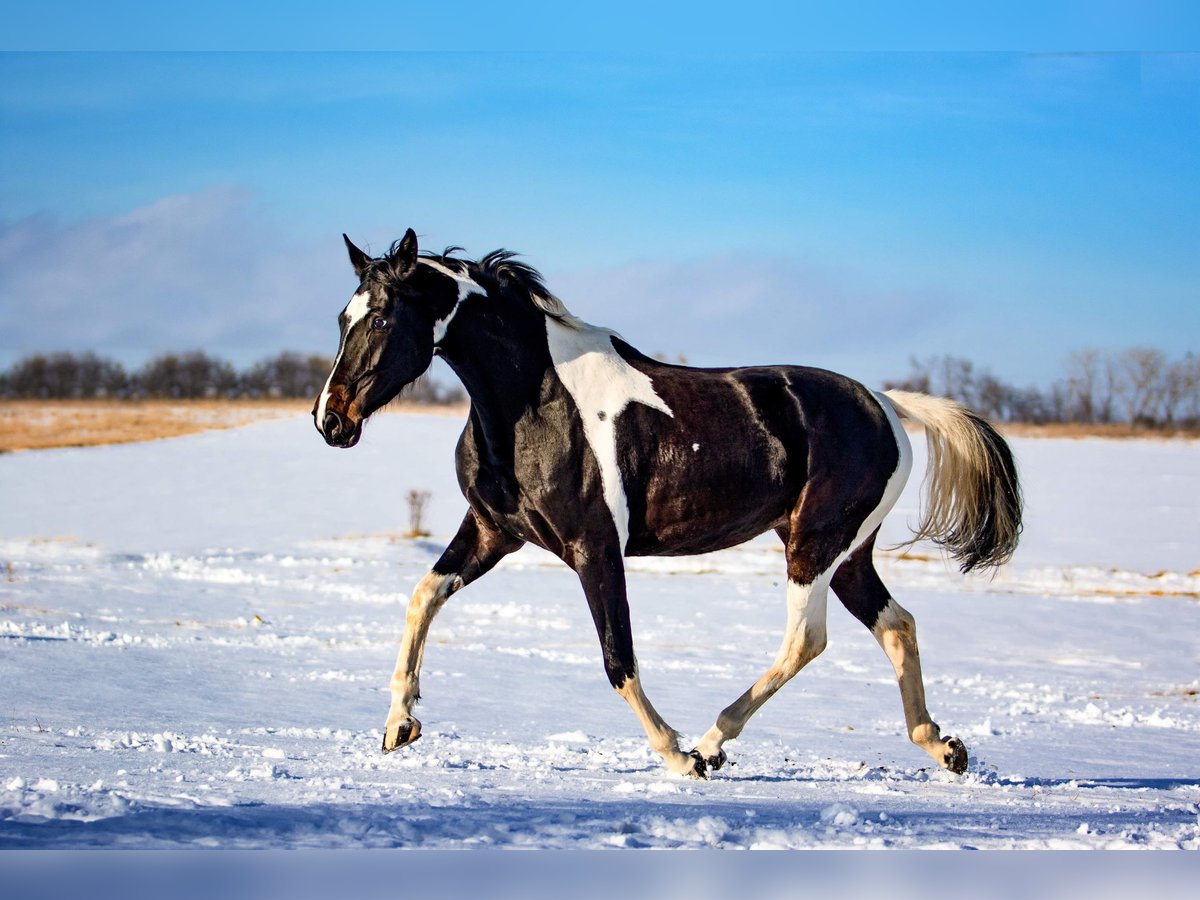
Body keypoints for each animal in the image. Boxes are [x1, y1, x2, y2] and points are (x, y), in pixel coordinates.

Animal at [314, 232, 1017, 782]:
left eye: (381, 320)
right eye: (343, 319)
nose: (330, 420)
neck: (534, 405)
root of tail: (887, 404)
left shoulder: (595, 548)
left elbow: (617, 658)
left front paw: (675, 755)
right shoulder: (492, 533)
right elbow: (422, 597)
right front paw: (400, 725)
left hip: (816, 544)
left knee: (806, 641)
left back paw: (710, 745)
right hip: (845, 553)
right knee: (896, 626)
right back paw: (943, 748)